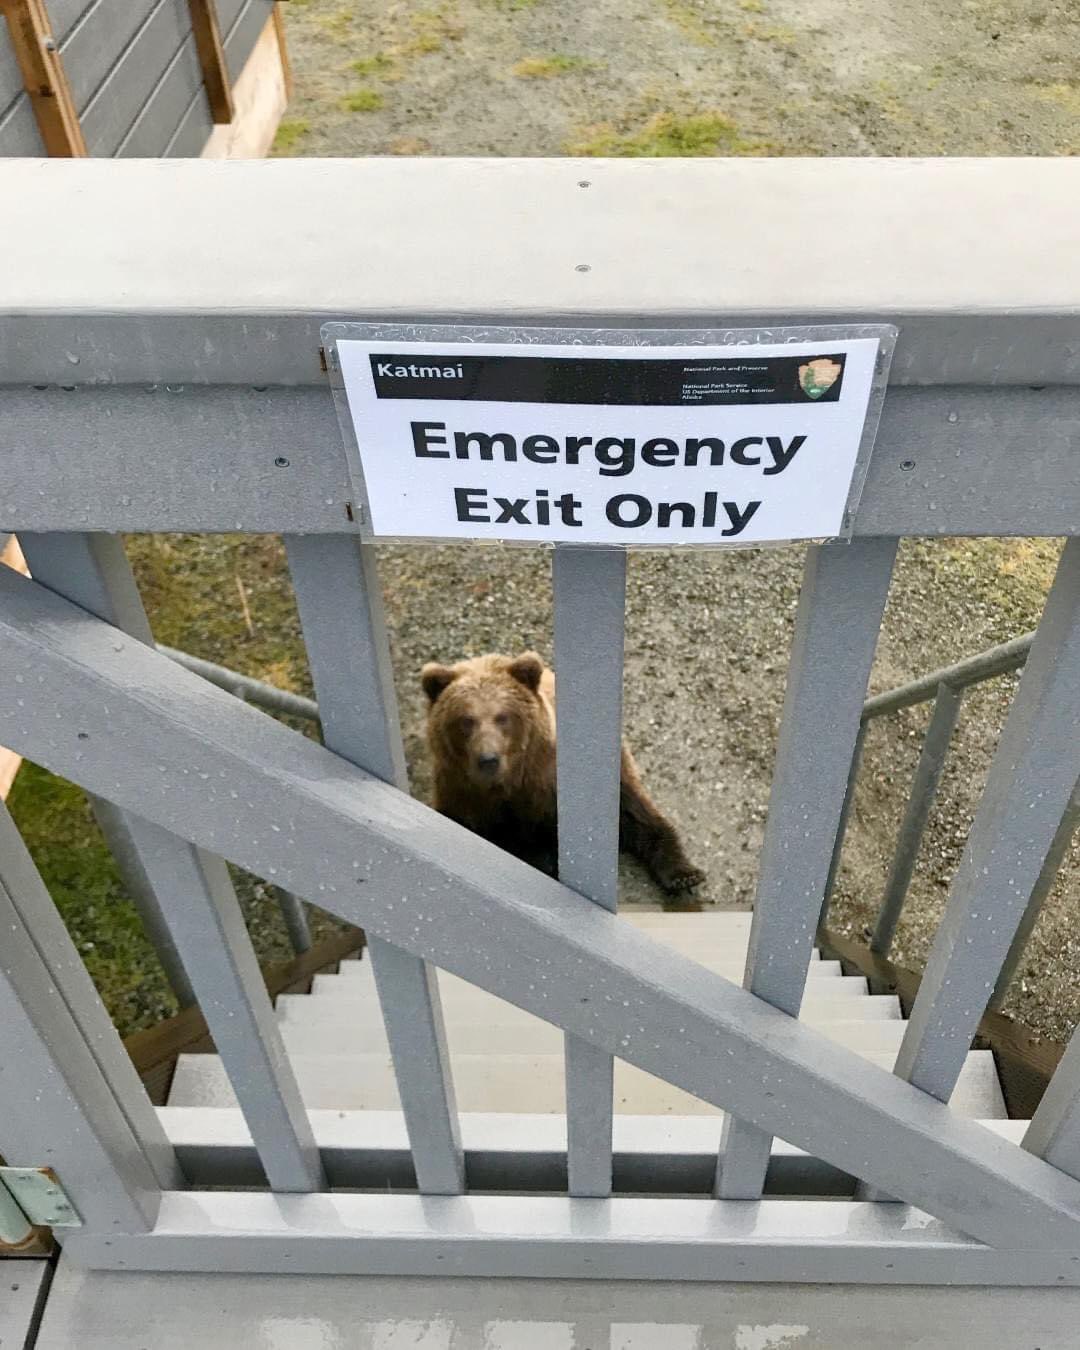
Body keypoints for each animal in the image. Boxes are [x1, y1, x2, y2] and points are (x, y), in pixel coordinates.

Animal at [421, 650, 705, 895]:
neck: (506, 786)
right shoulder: (460, 795)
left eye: (503, 717)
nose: (488, 759)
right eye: (466, 720)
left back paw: (684, 872)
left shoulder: (547, 787)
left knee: (636, 810)